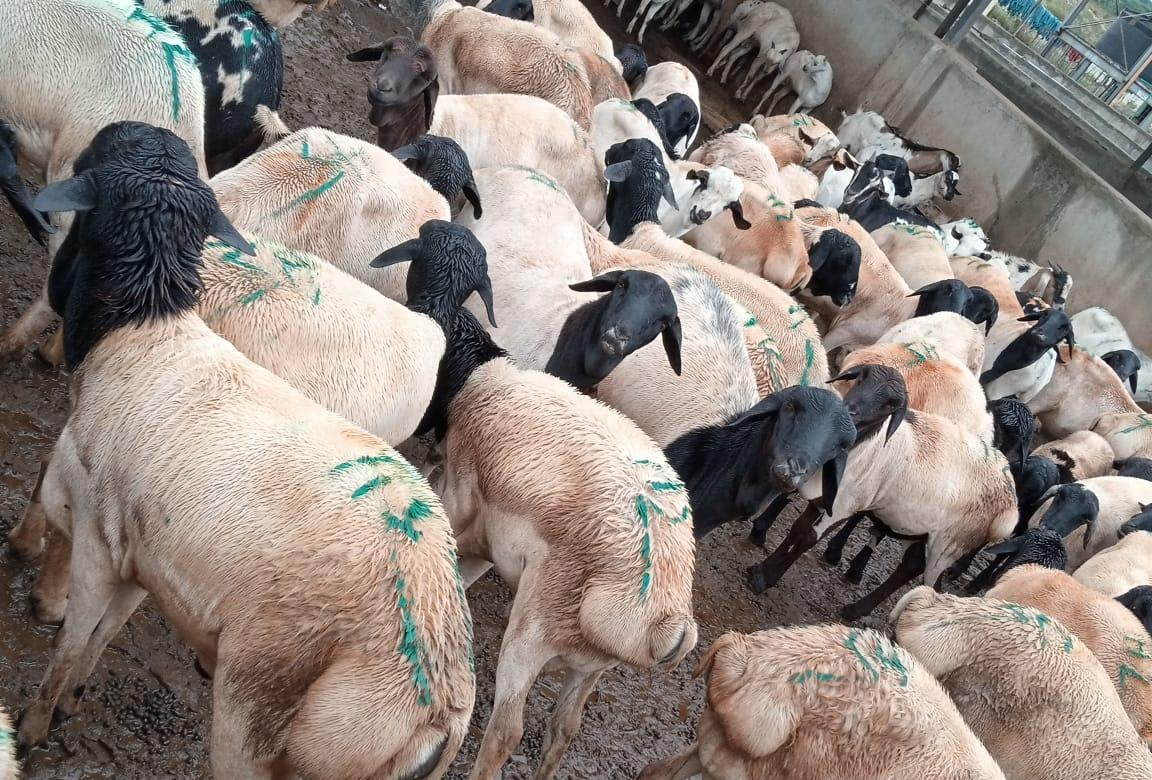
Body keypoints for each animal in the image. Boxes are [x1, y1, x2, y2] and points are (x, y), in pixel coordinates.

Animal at [428, 306, 697, 779]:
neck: (478, 376)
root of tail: (669, 619)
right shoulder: (487, 539)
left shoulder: (460, 502)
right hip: (590, 666)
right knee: (565, 727)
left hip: (531, 633)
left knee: (506, 732)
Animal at [750, 365, 1017, 620]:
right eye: (861, 378)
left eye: (889, 405)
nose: (850, 411)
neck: (865, 446)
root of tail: (1010, 501)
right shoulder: (821, 501)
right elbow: (797, 529)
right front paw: (761, 570)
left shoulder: (844, 506)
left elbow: (807, 538)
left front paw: (767, 578)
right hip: (922, 532)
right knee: (910, 567)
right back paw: (855, 610)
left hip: (950, 546)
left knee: (932, 584)